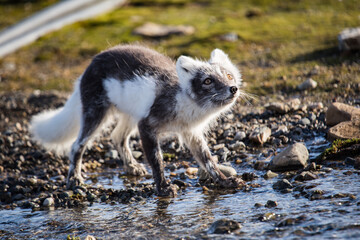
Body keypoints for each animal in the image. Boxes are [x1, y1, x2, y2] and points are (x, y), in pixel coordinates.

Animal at [31, 45, 245, 197]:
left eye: (228, 75)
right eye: (207, 81)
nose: (233, 88)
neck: (184, 102)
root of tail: (90, 65)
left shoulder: (191, 133)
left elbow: (207, 160)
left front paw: (224, 181)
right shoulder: (147, 125)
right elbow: (157, 160)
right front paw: (163, 188)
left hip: (130, 115)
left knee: (117, 137)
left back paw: (132, 167)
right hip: (96, 112)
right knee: (77, 145)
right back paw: (74, 179)